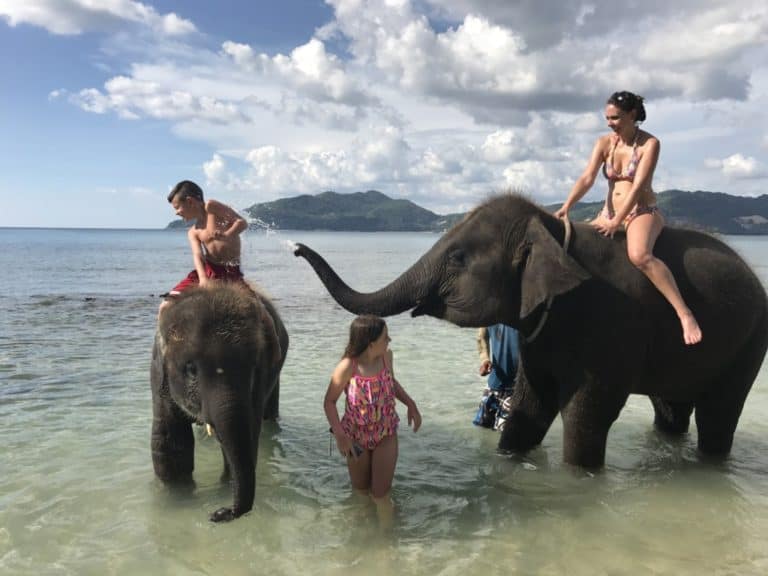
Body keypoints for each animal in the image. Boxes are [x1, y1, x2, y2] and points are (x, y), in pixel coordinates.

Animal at [150, 283, 288, 521]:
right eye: (191, 369)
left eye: (253, 369)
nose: (219, 513)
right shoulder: (159, 376)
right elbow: (170, 441)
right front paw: (176, 495)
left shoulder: (261, 380)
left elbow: (247, 433)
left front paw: (225, 486)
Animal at [294, 193, 768, 468]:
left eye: (458, 259)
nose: (296, 246)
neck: (552, 229)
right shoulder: (543, 332)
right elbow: (530, 402)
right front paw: (510, 459)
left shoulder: (615, 325)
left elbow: (587, 413)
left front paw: (579, 477)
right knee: (671, 410)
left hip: (750, 343)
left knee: (718, 414)